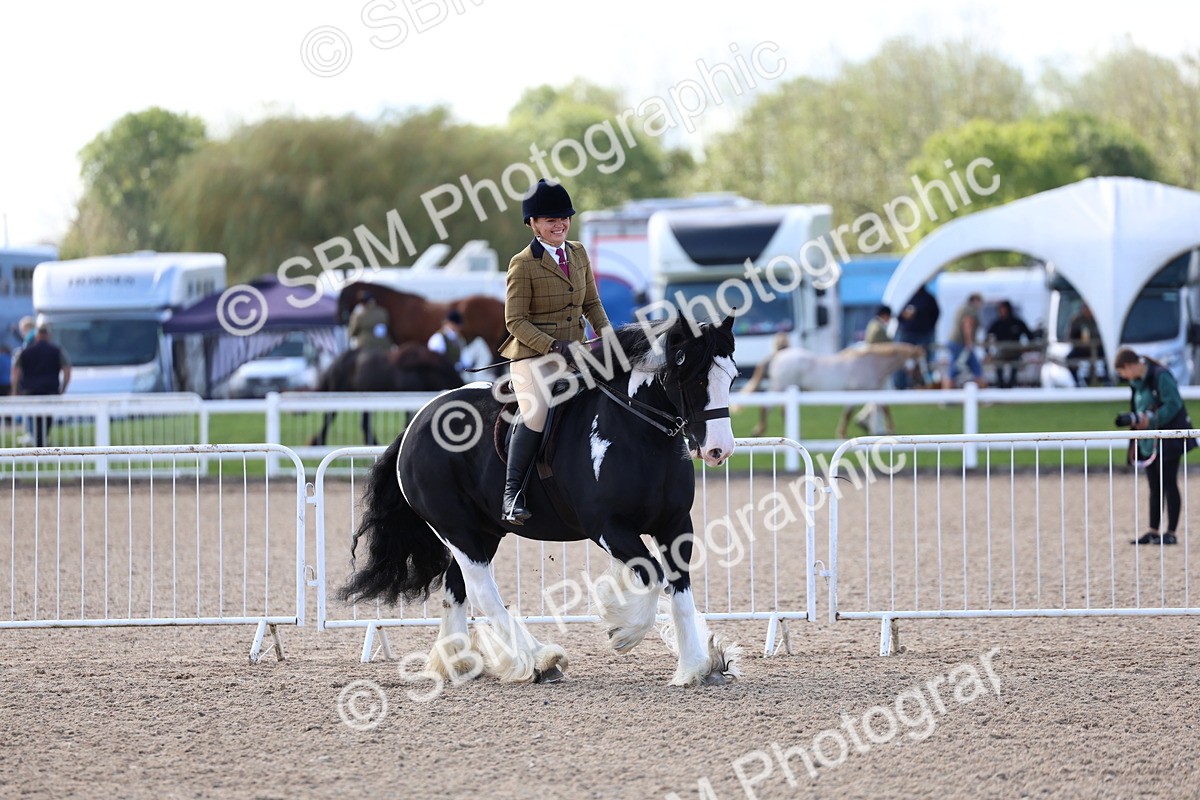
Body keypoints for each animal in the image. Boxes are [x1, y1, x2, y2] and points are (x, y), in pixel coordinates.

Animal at [336, 281, 507, 361]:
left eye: (344, 296)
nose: (341, 319)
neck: (398, 307)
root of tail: (499, 303)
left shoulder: (405, 342)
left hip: (491, 342)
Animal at [339, 317, 743, 686]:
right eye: (694, 377)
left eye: (732, 377)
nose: (719, 450)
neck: (637, 432)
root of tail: (415, 424)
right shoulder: (609, 528)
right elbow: (654, 577)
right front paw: (622, 628)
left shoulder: (675, 525)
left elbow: (680, 589)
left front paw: (697, 664)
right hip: (456, 529)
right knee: (482, 590)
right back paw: (537, 660)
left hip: (483, 531)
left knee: (458, 589)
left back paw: (460, 663)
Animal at [742, 341, 924, 438]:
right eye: (918, 363)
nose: (921, 382)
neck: (869, 363)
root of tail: (779, 355)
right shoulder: (856, 393)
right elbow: (850, 413)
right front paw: (842, 434)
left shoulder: (872, 391)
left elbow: (883, 407)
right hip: (780, 387)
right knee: (766, 407)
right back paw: (759, 431)